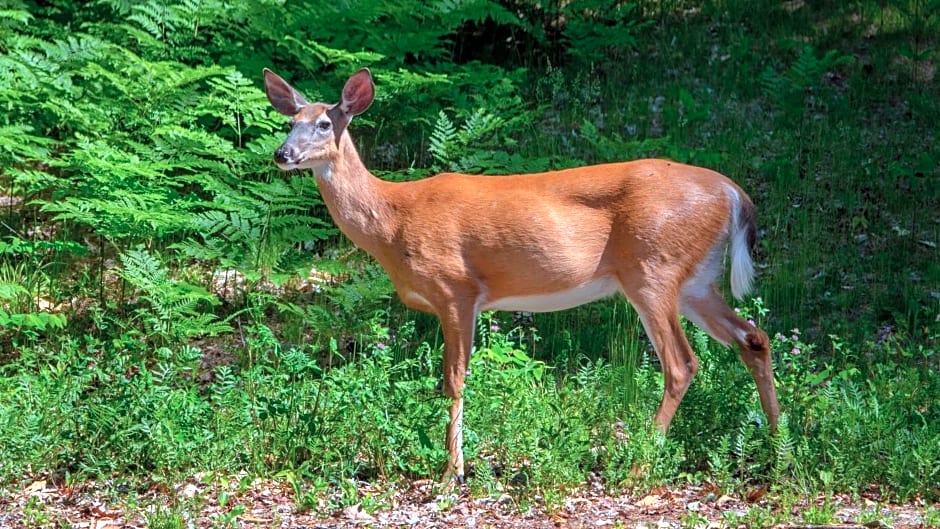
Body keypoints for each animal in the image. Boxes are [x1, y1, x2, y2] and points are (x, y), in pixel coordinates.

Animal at [260, 66, 784, 482]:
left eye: (324, 123)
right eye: (290, 123)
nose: (282, 154)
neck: (393, 221)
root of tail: (733, 193)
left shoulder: (456, 288)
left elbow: (454, 379)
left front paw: (452, 473)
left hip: (652, 269)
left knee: (682, 364)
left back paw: (640, 463)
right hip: (695, 281)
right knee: (754, 338)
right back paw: (779, 450)